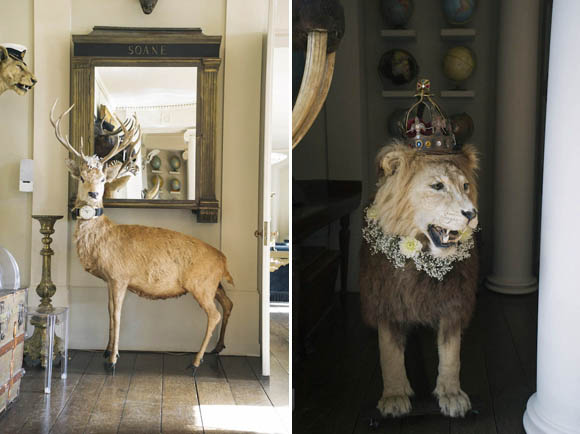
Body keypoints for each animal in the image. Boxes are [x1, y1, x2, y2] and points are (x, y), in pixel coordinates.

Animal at [49, 101, 231, 372]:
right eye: (82, 177)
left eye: (102, 178)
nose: (93, 194)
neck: (102, 240)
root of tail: (223, 260)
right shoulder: (109, 279)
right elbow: (108, 311)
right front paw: (106, 351)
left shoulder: (120, 275)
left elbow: (117, 314)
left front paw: (113, 359)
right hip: (214, 284)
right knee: (228, 304)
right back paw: (218, 348)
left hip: (202, 284)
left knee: (214, 314)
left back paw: (196, 361)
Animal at [360, 144, 478, 418]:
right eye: (437, 186)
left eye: (466, 186)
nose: (471, 213)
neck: (420, 265)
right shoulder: (387, 301)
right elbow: (389, 354)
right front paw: (394, 397)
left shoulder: (452, 304)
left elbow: (451, 354)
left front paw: (451, 395)